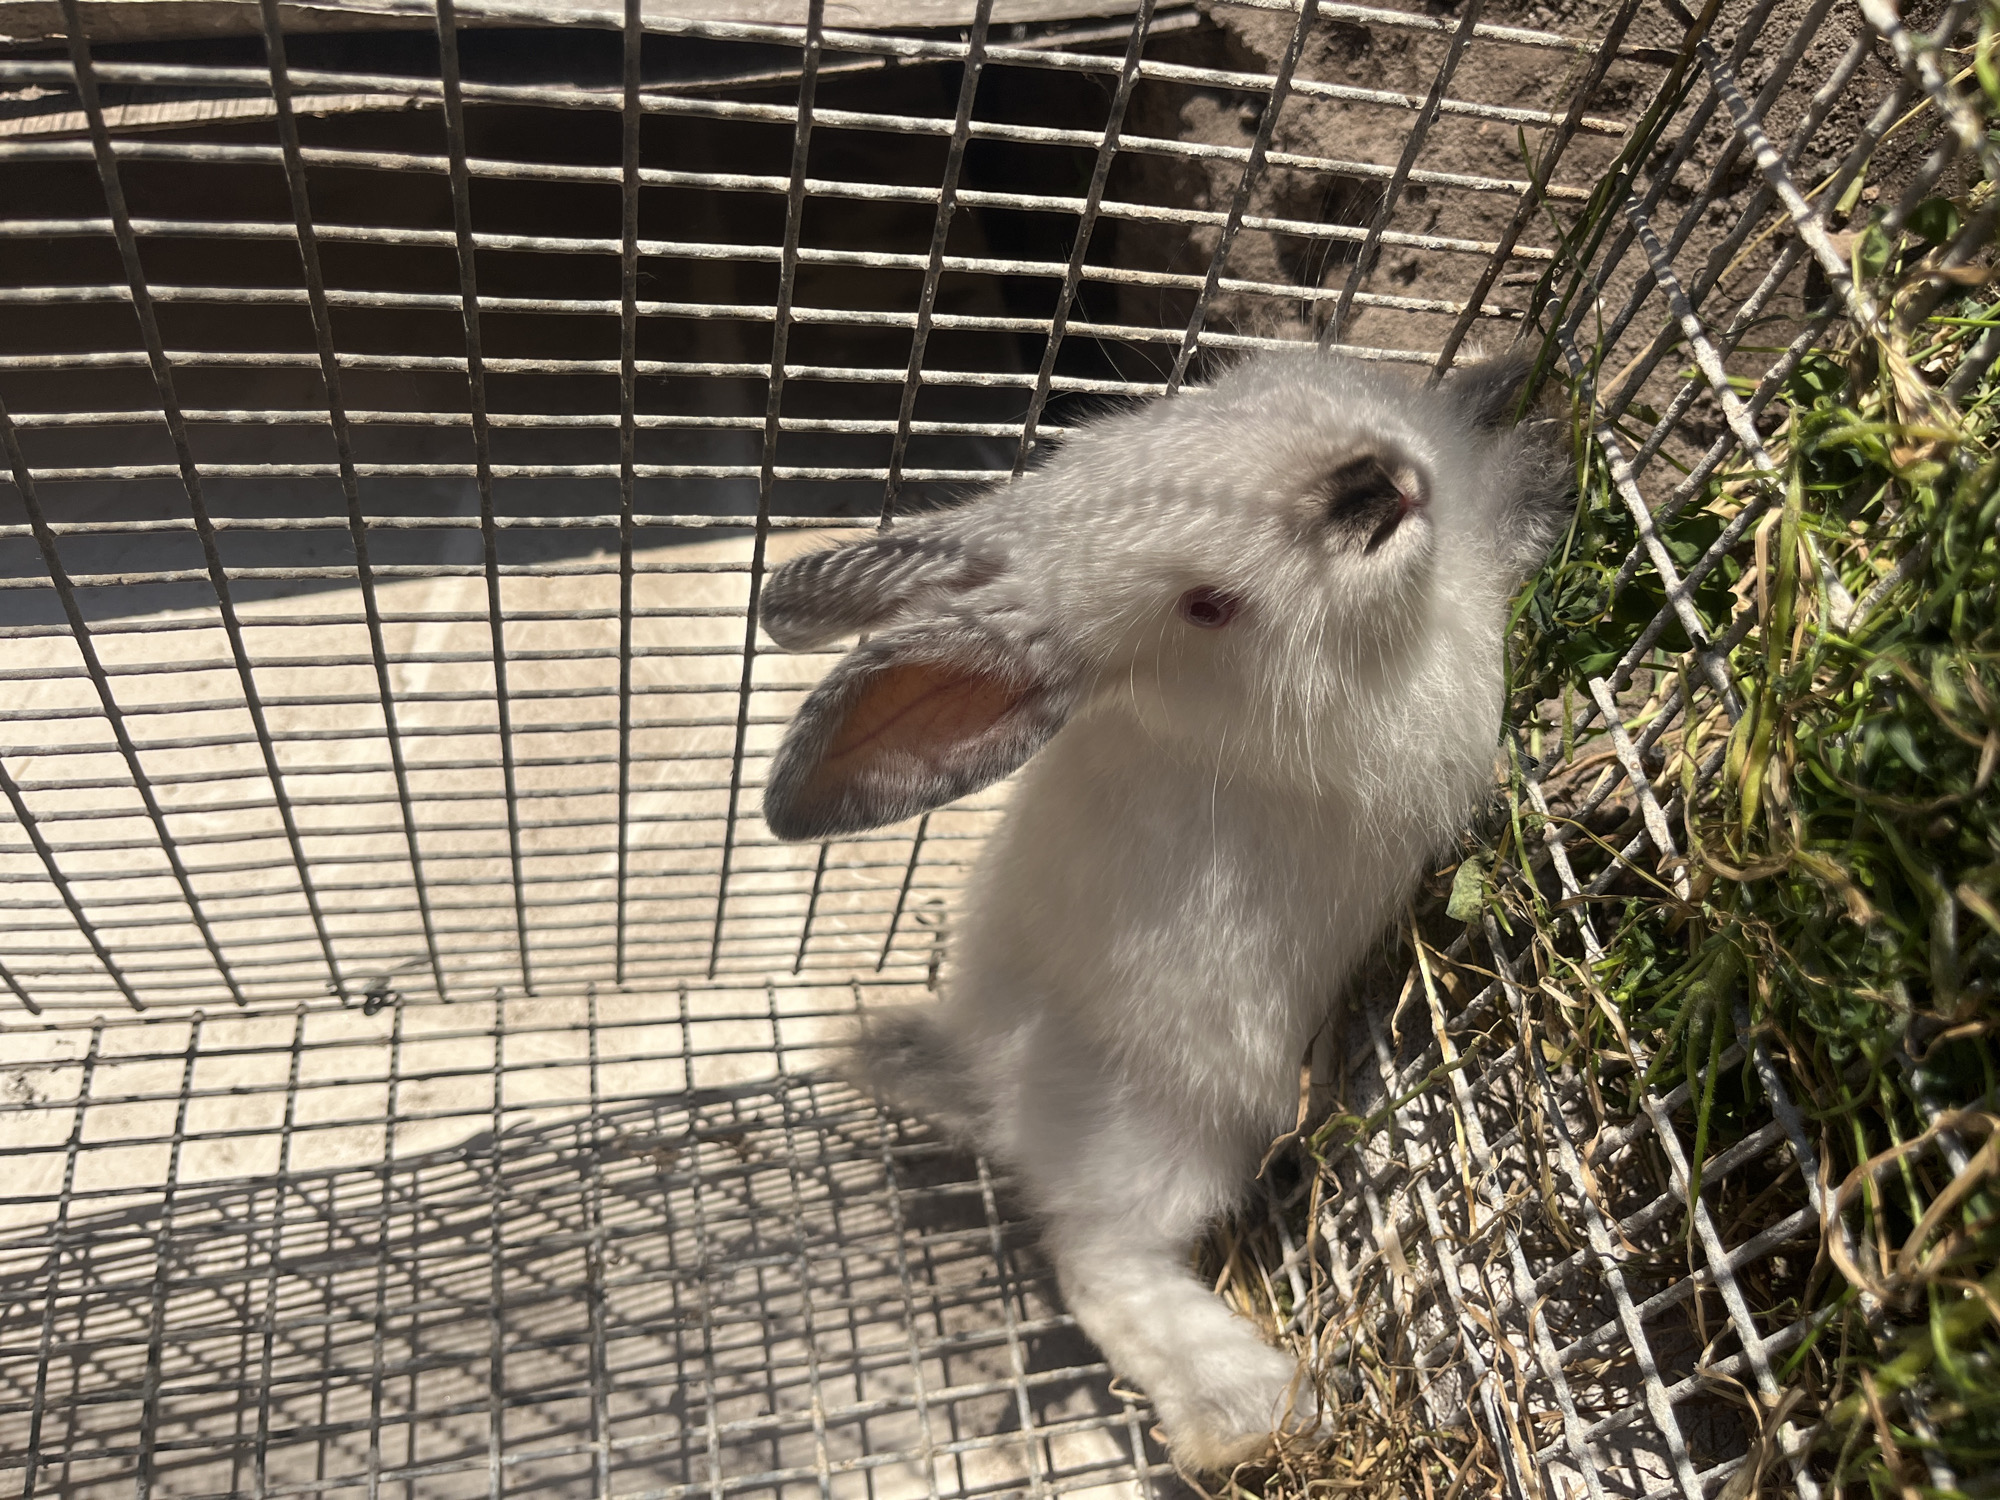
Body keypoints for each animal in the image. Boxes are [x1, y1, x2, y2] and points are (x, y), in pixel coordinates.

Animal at [758, 346, 1571, 1471]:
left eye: (1198, 406)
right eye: (1207, 608)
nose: (1365, 488)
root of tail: (983, 1083)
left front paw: (1516, 393)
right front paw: (1546, 476)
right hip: (1163, 1148)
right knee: (1096, 1264)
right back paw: (1254, 1409)